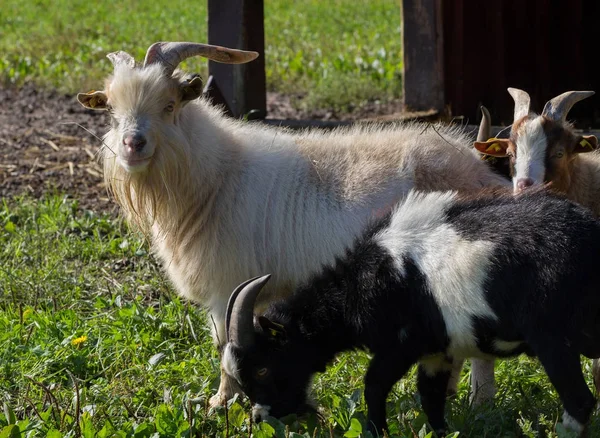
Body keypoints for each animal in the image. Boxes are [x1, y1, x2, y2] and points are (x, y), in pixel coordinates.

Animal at [78, 40, 510, 408]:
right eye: (112, 112)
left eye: (168, 105)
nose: (132, 144)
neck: (216, 175)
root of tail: (483, 173)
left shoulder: (225, 287)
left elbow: (224, 346)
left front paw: (221, 403)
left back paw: (480, 404)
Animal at [223, 190, 600, 436]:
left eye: (262, 368)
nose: (259, 419)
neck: (365, 280)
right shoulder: (437, 352)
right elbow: (431, 398)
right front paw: (441, 433)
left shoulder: (401, 344)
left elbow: (374, 385)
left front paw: (376, 432)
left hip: (551, 337)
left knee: (580, 402)